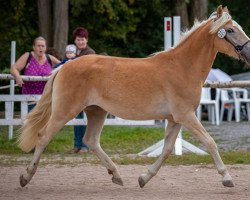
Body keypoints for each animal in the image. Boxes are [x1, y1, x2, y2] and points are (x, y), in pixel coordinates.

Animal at [17, 5, 250, 188]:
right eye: (230, 30)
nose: (249, 52)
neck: (183, 67)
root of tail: (64, 66)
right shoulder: (186, 116)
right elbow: (210, 142)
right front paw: (227, 178)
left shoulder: (175, 119)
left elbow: (166, 150)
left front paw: (144, 178)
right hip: (65, 111)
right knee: (44, 136)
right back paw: (26, 177)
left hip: (96, 112)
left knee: (90, 140)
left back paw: (116, 175)